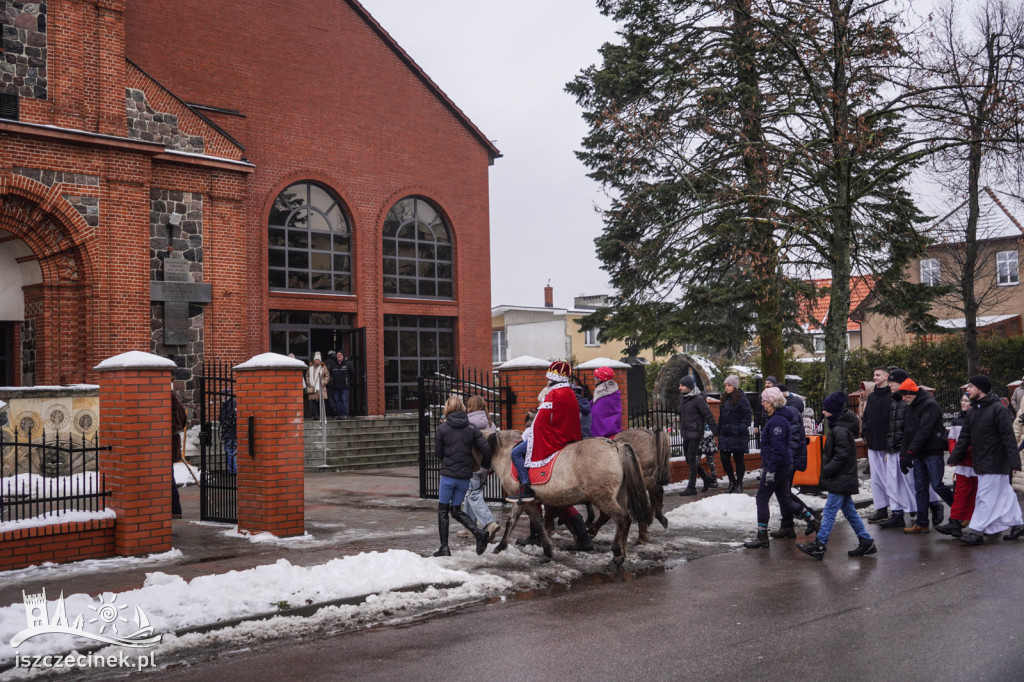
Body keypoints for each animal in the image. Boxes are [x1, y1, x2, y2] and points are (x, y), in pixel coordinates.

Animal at [485, 430, 647, 569]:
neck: (507, 454)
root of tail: (616, 446)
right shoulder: (520, 500)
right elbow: (511, 522)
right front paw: (500, 547)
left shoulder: (528, 501)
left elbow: (538, 522)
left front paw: (548, 551)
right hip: (618, 496)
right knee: (622, 518)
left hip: (602, 497)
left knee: (622, 518)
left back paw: (617, 555)